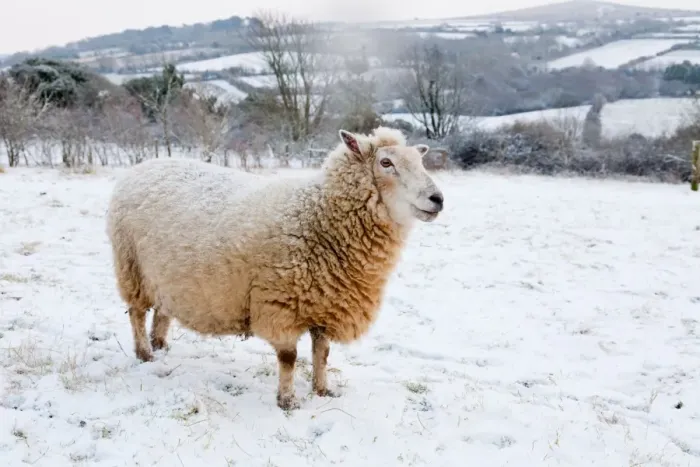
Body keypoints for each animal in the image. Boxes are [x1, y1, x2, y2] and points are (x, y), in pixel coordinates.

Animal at [105, 126, 445, 410]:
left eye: (420, 161)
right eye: (386, 163)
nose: (437, 199)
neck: (317, 215)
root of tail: (143, 166)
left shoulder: (326, 302)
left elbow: (322, 353)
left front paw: (323, 391)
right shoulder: (280, 303)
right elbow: (289, 358)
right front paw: (288, 401)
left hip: (165, 275)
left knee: (162, 311)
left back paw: (160, 345)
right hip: (131, 266)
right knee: (136, 312)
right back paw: (145, 354)